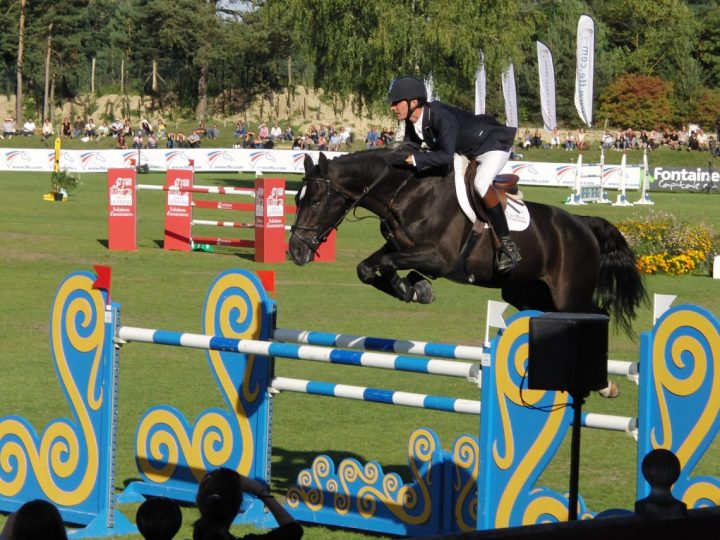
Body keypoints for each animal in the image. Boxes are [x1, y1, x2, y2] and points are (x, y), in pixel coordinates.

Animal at [286, 150, 648, 336]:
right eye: (298, 198)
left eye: (315, 200)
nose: (295, 251)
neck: (407, 192)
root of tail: (583, 224)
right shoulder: (399, 247)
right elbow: (367, 268)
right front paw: (413, 288)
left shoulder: (440, 257)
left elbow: (389, 265)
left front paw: (413, 289)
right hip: (526, 292)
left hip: (569, 295)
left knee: (595, 314)